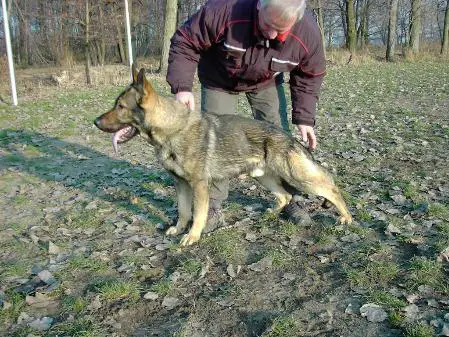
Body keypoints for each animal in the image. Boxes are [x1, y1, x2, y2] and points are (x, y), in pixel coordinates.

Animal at [95, 65, 354, 244]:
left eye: (120, 107)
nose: (95, 122)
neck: (171, 129)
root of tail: (290, 138)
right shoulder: (181, 185)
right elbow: (183, 211)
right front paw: (179, 229)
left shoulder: (199, 185)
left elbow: (198, 213)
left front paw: (192, 236)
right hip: (264, 177)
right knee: (285, 196)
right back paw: (271, 212)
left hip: (297, 176)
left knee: (330, 187)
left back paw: (347, 218)